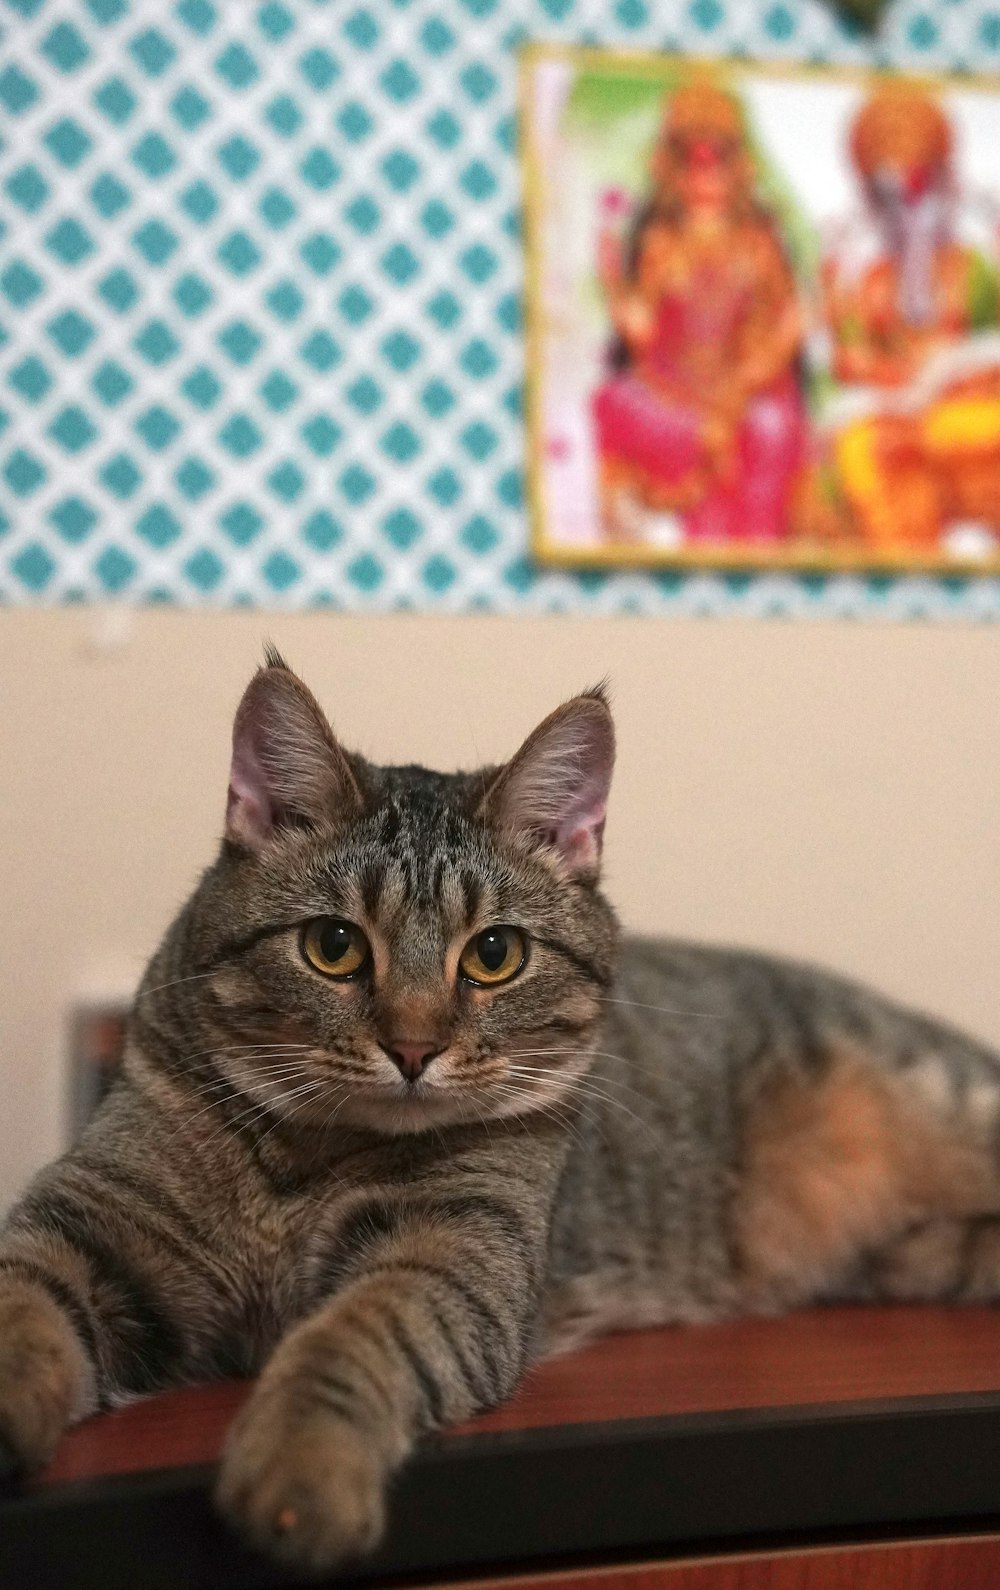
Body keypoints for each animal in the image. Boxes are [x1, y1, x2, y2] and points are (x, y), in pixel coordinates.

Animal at [1, 651, 998, 1570]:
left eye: (493, 955)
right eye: (333, 945)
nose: (412, 1049)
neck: (305, 1161)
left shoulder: (458, 1256)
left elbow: (345, 1342)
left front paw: (300, 1472)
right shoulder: (86, 1219)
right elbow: (22, 1308)